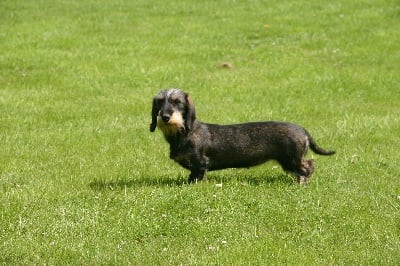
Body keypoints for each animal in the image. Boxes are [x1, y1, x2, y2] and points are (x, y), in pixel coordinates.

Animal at [150, 88, 334, 184]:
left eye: (177, 102)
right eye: (159, 102)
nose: (165, 117)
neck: (185, 132)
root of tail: (303, 130)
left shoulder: (200, 163)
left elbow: (197, 176)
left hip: (291, 159)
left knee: (308, 166)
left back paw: (302, 182)